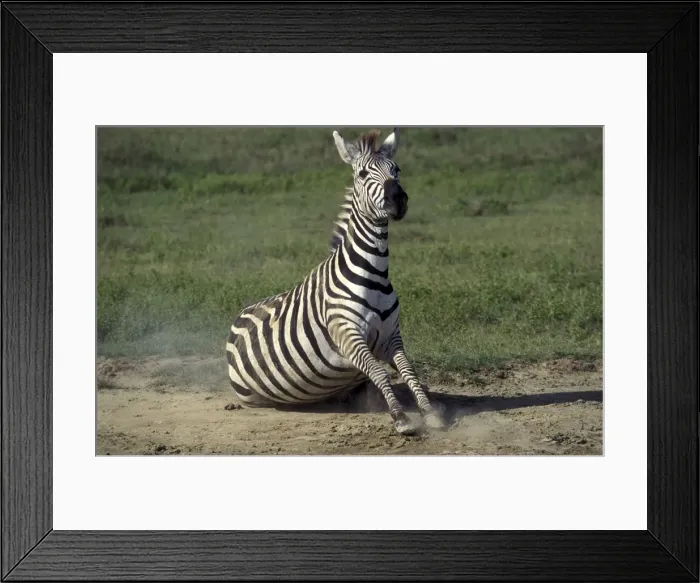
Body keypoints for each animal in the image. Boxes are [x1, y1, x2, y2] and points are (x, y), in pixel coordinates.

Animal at [225, 128, 445, 435]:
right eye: (363, 173)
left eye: (397, 170)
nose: (398, 200)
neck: (374, 273)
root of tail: (241, 313)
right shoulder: (347, 334)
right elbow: (380, 371)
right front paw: (401, 418)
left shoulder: (391, 335)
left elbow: (408, 370)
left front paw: (430, 412)